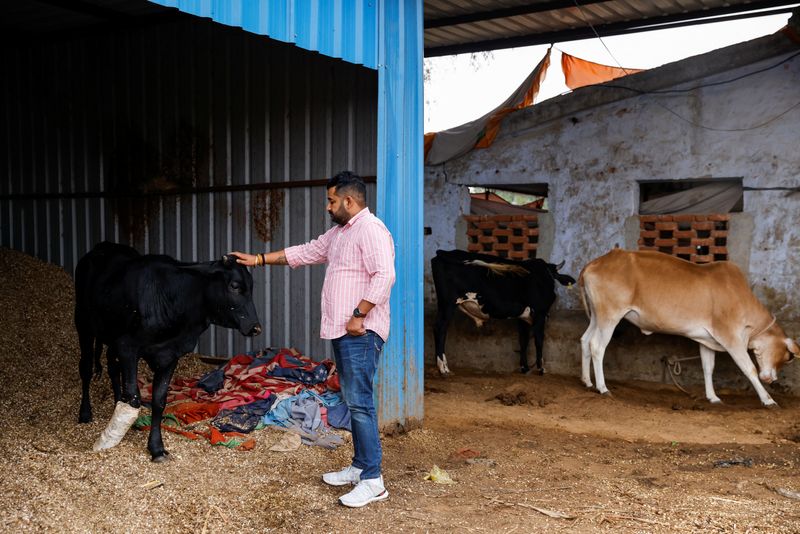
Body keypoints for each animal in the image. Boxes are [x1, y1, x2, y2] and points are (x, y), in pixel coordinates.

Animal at [75, 242, 262, 460]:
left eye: (251, 287)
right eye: (234, 286)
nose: (256, 328)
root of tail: (102, 246)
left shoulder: (170, 354)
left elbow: (158, 400)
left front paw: (156, 447)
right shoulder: (128, 347)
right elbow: (134, 396)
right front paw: (112, 437)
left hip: (111, 334)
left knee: (113, 368)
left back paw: (116, 402)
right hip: (83, 323)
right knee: (86, 368)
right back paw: (85, 413)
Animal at [432, 248, 576, 376]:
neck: (544, 276)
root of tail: (444, 252)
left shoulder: (523, 316)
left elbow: (523, 340)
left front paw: (524, 368)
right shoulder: (540, 314)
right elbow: (539, 341)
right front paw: (541, 369)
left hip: (445, 304)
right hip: (448, 303)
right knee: (440, 328)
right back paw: (444, 369)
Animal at [580, 249, 796, 408]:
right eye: (788, 357)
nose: (772, 380)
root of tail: (595, 262)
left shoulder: (708, 340)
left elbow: (708, 368)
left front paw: (713, 397)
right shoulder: (730, 336)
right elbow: (749, 368)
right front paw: (769, 400)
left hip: (597, 316)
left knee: (584, 340)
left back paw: (587, 381)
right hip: (610, 315)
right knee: (597, 345)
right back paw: (602, 388)